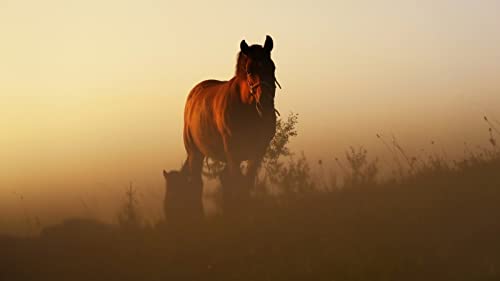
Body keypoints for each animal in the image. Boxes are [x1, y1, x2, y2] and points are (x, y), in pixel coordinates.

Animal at [182, 34, 282, 201]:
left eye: (272, 67)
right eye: (249, 70)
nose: (265, 105)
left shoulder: (258, 151)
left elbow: (245, 184)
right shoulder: (232, 152)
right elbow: (237, 184)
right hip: (194, 153)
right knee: (196, 183)